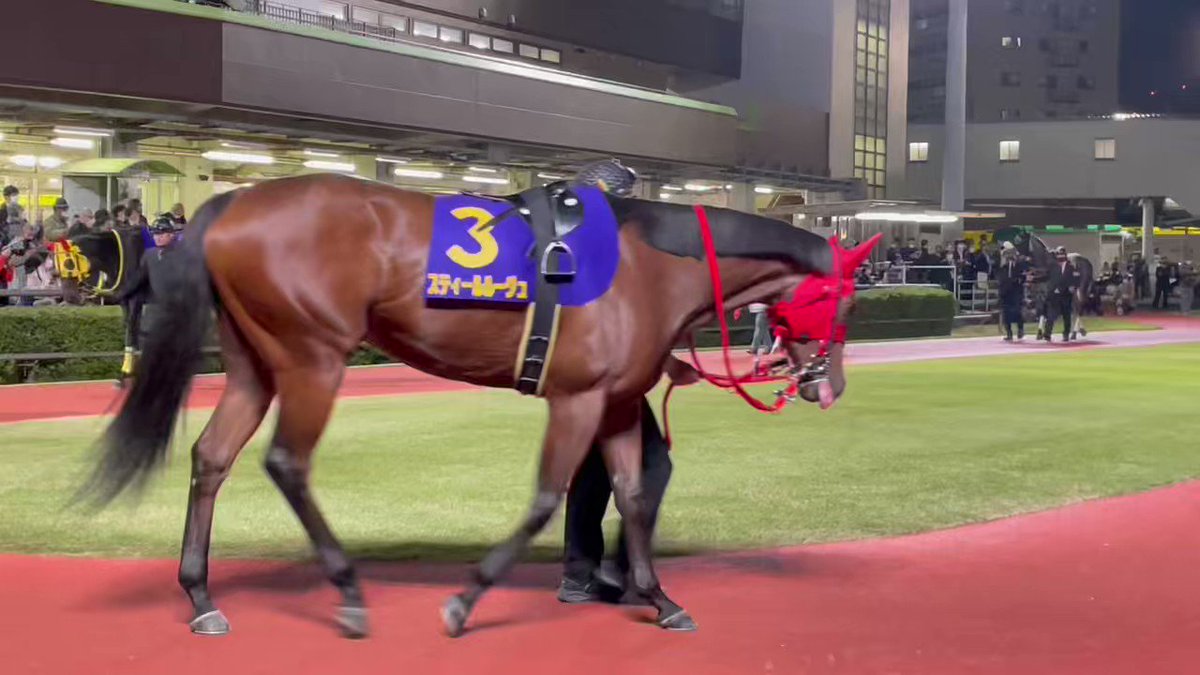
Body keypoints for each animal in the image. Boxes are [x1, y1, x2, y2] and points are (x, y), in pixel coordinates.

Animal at [80, 173, 870, 640]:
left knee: (212, 457)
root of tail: (232, 202)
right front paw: (465, 601)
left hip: (255, 363)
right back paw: (348, 591)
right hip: (312, 356)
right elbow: (548, 497)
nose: (828, 386)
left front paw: (659, 596)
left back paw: (200, 596)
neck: (649, 262)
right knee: (287, 461)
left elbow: (634, 492)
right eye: (842, 300)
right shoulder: (578, 397)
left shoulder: (616, 400)